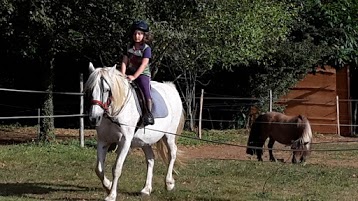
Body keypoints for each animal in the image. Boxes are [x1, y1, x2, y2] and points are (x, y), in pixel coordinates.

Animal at [84, 62, 185, 201]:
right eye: (90, 90)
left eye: (107, 90)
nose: (94, 118)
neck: (115, 112)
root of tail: (171, 88)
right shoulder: (103, 141)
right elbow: (98, 169)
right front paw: (108, 186)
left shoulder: (125, 142)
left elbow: (117, 168)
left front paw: (111, 195)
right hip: (145, 141)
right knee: (150, 159)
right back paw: (146, 189)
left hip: (168, 136)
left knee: (172, 154)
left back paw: (169, 183)